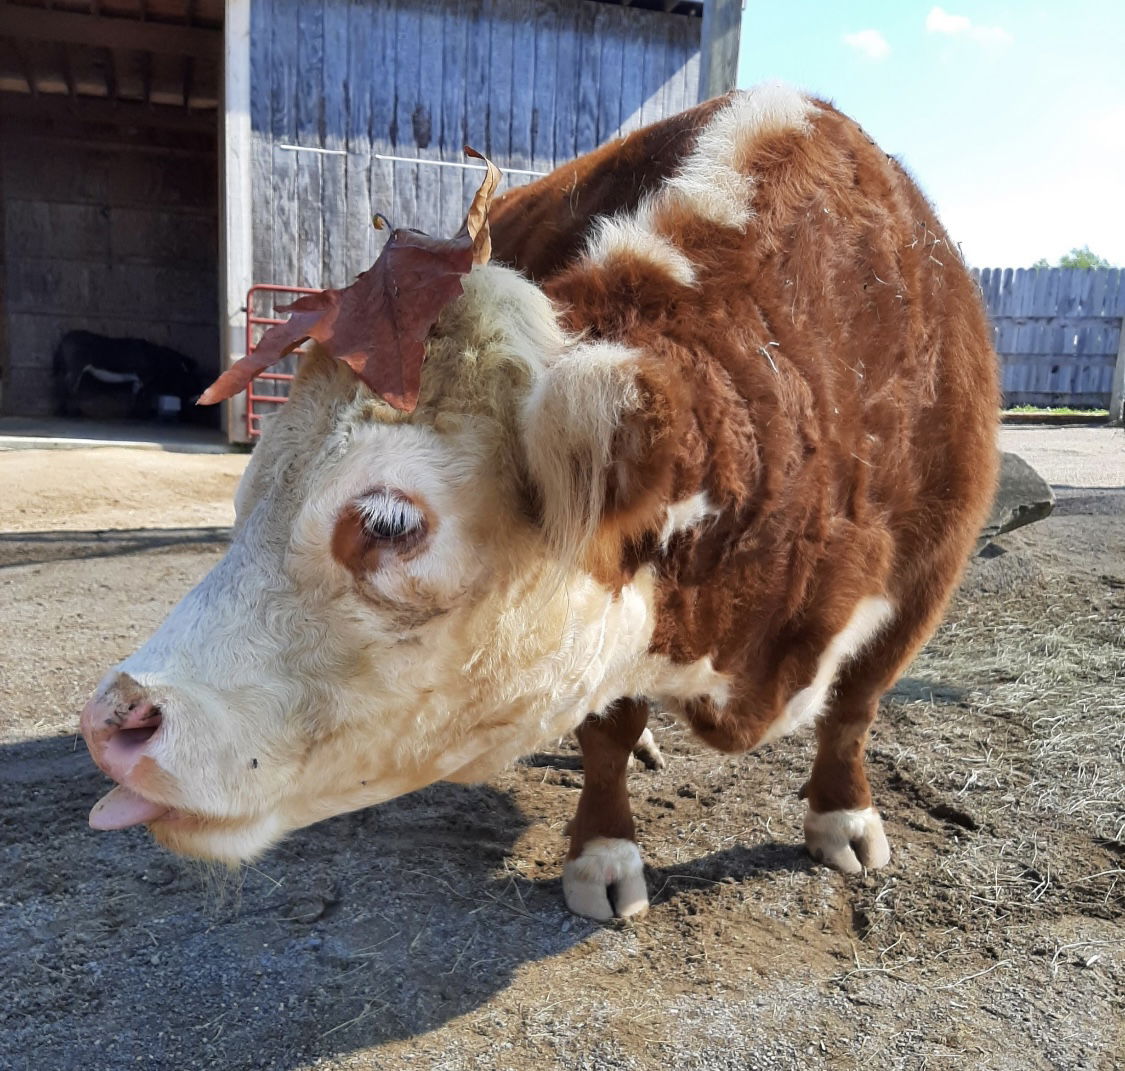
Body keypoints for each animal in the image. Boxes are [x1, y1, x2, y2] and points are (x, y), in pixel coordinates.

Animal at [79, 85, 999, 922]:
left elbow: (854, 707)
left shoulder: (922, 582)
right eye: (248, 495)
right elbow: (607, 728)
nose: (111, 719)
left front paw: (843, 816)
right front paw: (605, 855)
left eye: (386, 522)